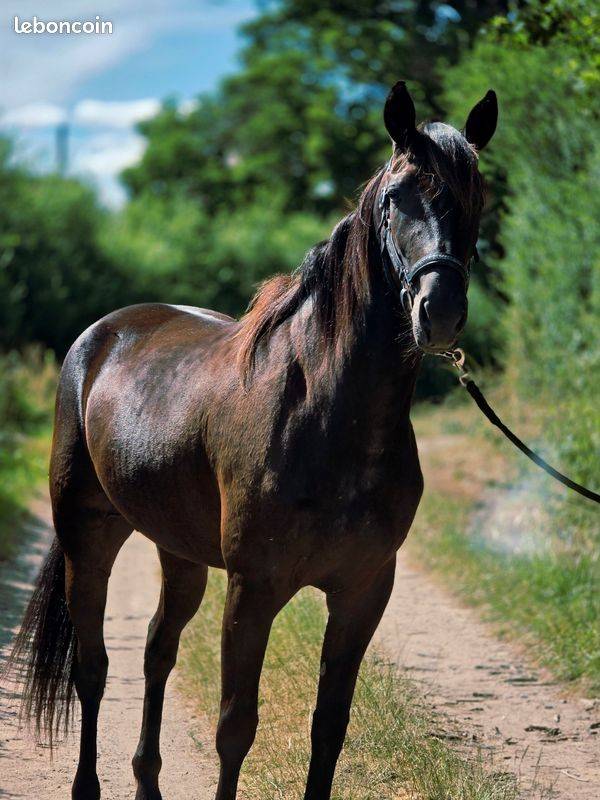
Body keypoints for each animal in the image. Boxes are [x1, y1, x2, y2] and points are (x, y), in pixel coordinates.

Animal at [7, 81, 497, 800]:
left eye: (476, 196)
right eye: (396, 198)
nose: (439, 311)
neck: (329, 416)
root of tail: (100, 336)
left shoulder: (363, 591)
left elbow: (330, 727)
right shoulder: (254, 587)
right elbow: (235, 726)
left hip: (178, 551)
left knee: (156, 650)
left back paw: (147, 781)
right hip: (86, 536)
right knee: (92, 668)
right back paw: (87, 785)